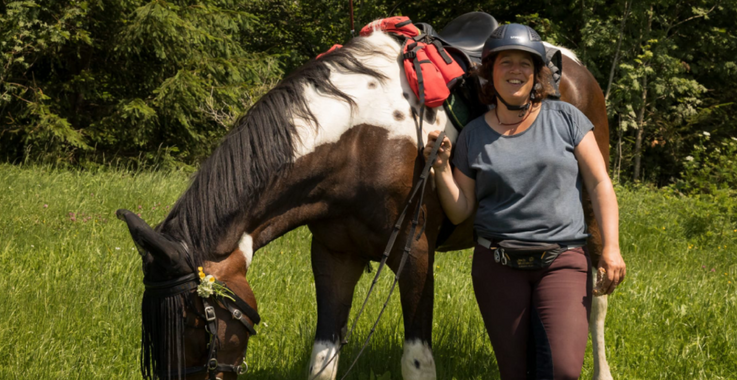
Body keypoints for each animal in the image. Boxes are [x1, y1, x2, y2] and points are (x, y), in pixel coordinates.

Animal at [115, 22, 608, 380]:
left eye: (195, 324)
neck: (359, 141)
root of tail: (570, 63)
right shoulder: (334, 256)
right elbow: (323, 360)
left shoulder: (415, 255)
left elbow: (416, 362)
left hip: (591, 217)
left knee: (596, 299)